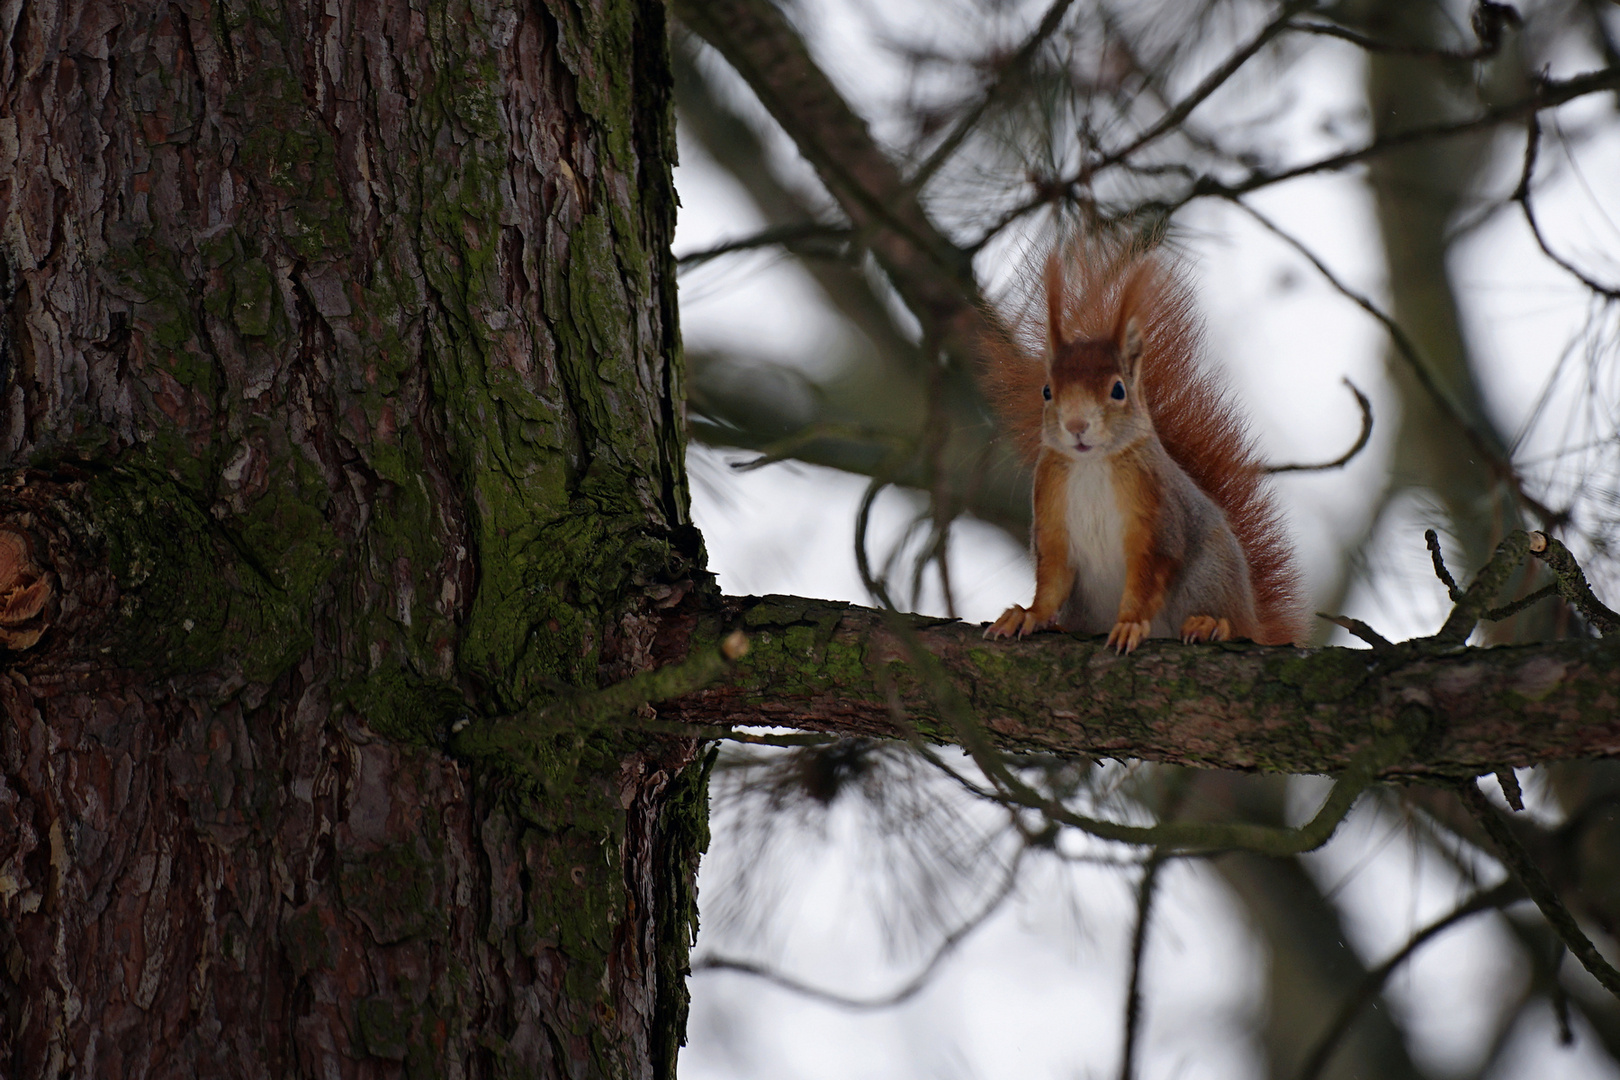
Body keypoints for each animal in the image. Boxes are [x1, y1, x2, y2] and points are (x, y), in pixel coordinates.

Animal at [972, 234, 1302, 650]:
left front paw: (1129, 623)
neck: (1092, 466)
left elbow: (1146, 581)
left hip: (1210, 577)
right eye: (1046, 391)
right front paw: (1028, 616)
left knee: (1230, 622)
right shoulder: (1051, 519)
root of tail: (1254, 618)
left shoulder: (1157, 522)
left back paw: (1211, 624)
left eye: (1118, 390)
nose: (1076, 425)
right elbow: (1051, 581)